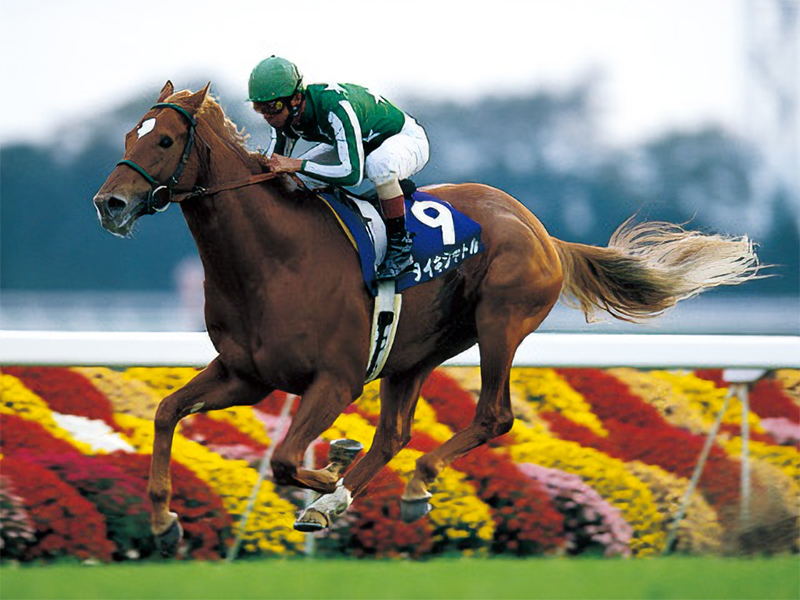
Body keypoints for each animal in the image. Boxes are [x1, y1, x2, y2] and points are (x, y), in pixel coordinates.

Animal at [93, 82, 761, 556]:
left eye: (163, 141)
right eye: (128, 134)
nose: (109, 203)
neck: (272, 259)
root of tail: (541, 230)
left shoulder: (334, 379)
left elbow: (285, 458)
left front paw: (330, 473)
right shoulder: (247, 375)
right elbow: (166, 413)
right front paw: (165, 521)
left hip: (499, 322)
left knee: (493, 415)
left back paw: (409, 484)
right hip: (414, 351)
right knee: (395, 433)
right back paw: (359, 492)